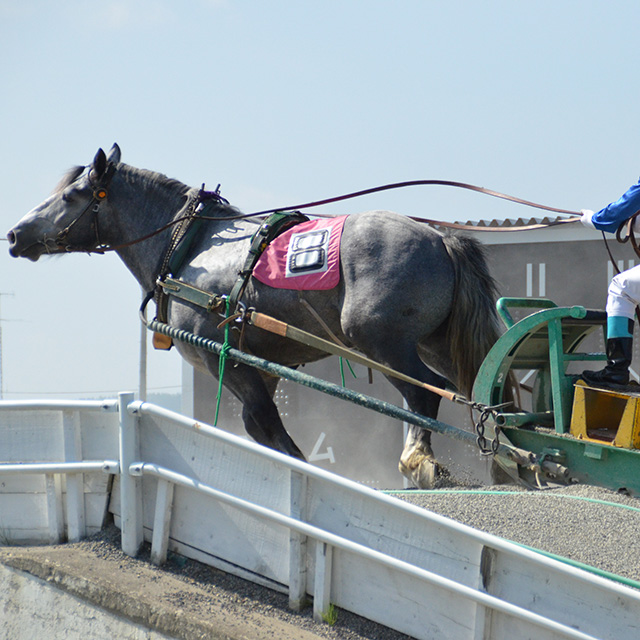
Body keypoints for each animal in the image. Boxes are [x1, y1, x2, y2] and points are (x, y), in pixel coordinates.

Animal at [7, 144, 502, 484]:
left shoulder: (226, 359)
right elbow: (259, 426)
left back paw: (418, 461)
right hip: (436, 345)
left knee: (423, 394)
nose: (14, 234)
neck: (190, 246)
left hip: (381, 341)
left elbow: (265, 424)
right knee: (479, 394)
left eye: (72, 196)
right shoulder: (262, 365)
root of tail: (440, 239)